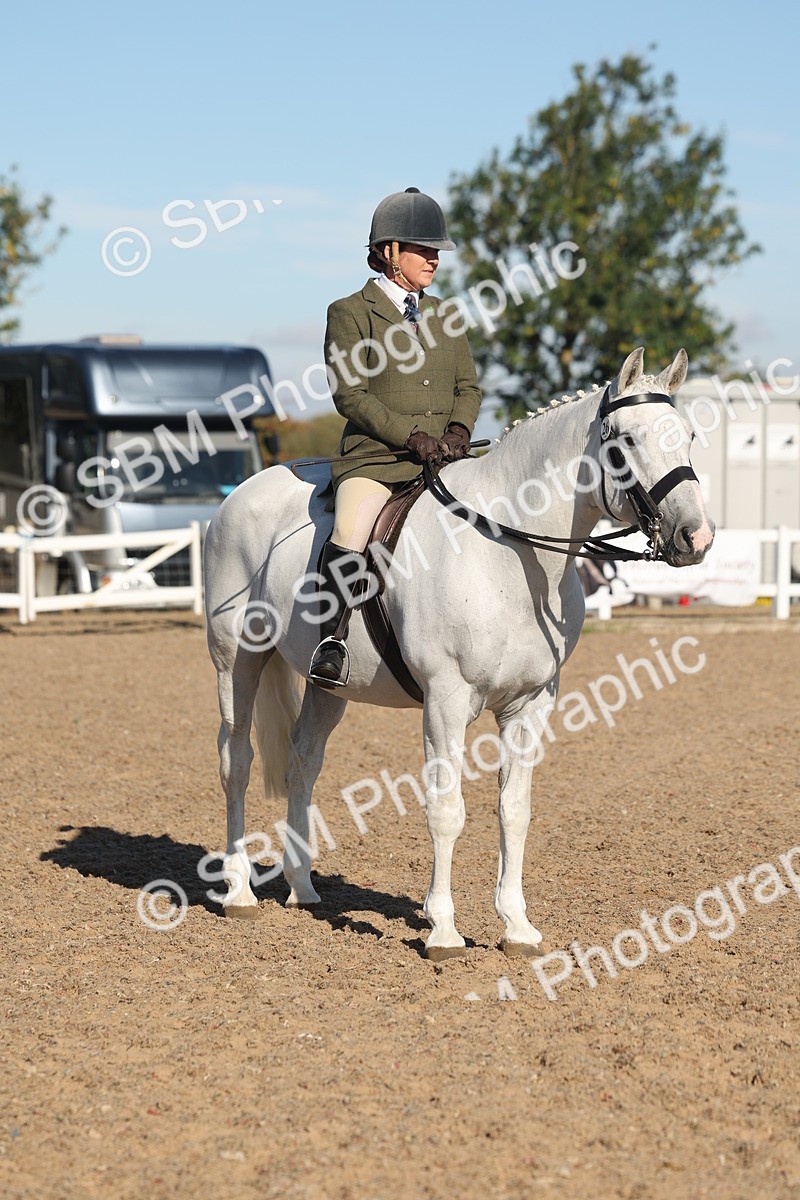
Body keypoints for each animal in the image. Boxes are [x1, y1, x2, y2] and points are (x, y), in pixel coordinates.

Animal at [203, 347, 714, 959]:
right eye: (628, 440)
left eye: (688, 434)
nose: (695, 538)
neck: (510, 553)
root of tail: (241, 494)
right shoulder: (446, 701)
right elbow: (447, 811)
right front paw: (443, 930)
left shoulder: (530, 704)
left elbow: (514, 810)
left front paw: (516, 926)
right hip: (237, 660)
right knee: (236, 761)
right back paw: (238, 893)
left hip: (330, 683)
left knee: (303, 760)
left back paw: (302, 888)